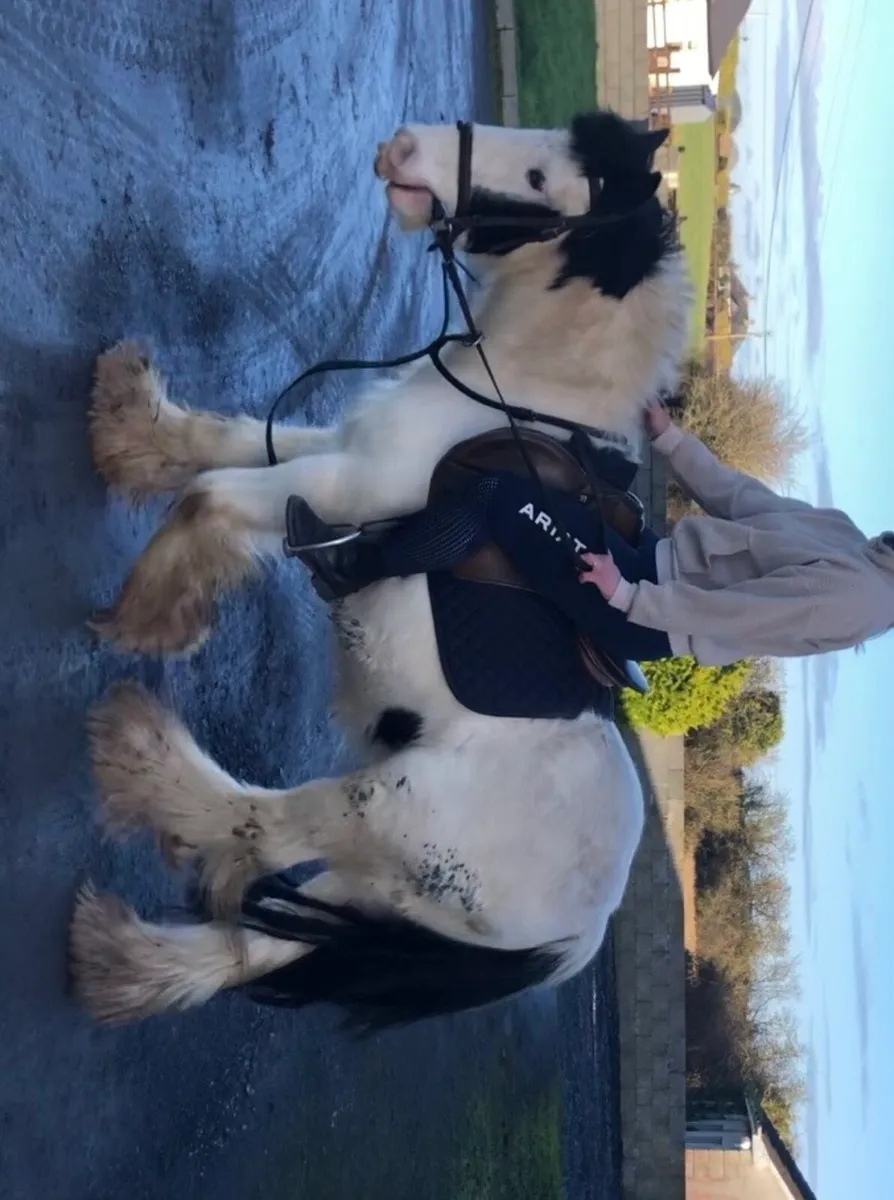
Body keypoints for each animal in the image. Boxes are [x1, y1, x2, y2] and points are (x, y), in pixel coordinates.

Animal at [70, 110, 692, 1029]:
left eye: (540, 178)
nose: (401, 145)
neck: (516, 392)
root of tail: (573, 941)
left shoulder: (344, 487)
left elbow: (208, 497)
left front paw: (149, 621)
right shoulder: (338, 454)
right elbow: (221, 441)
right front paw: (127, 425)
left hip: (381, 814)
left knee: (258, 827)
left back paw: (139, 755)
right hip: (383, 897)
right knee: (256, 944)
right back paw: (120, 963)